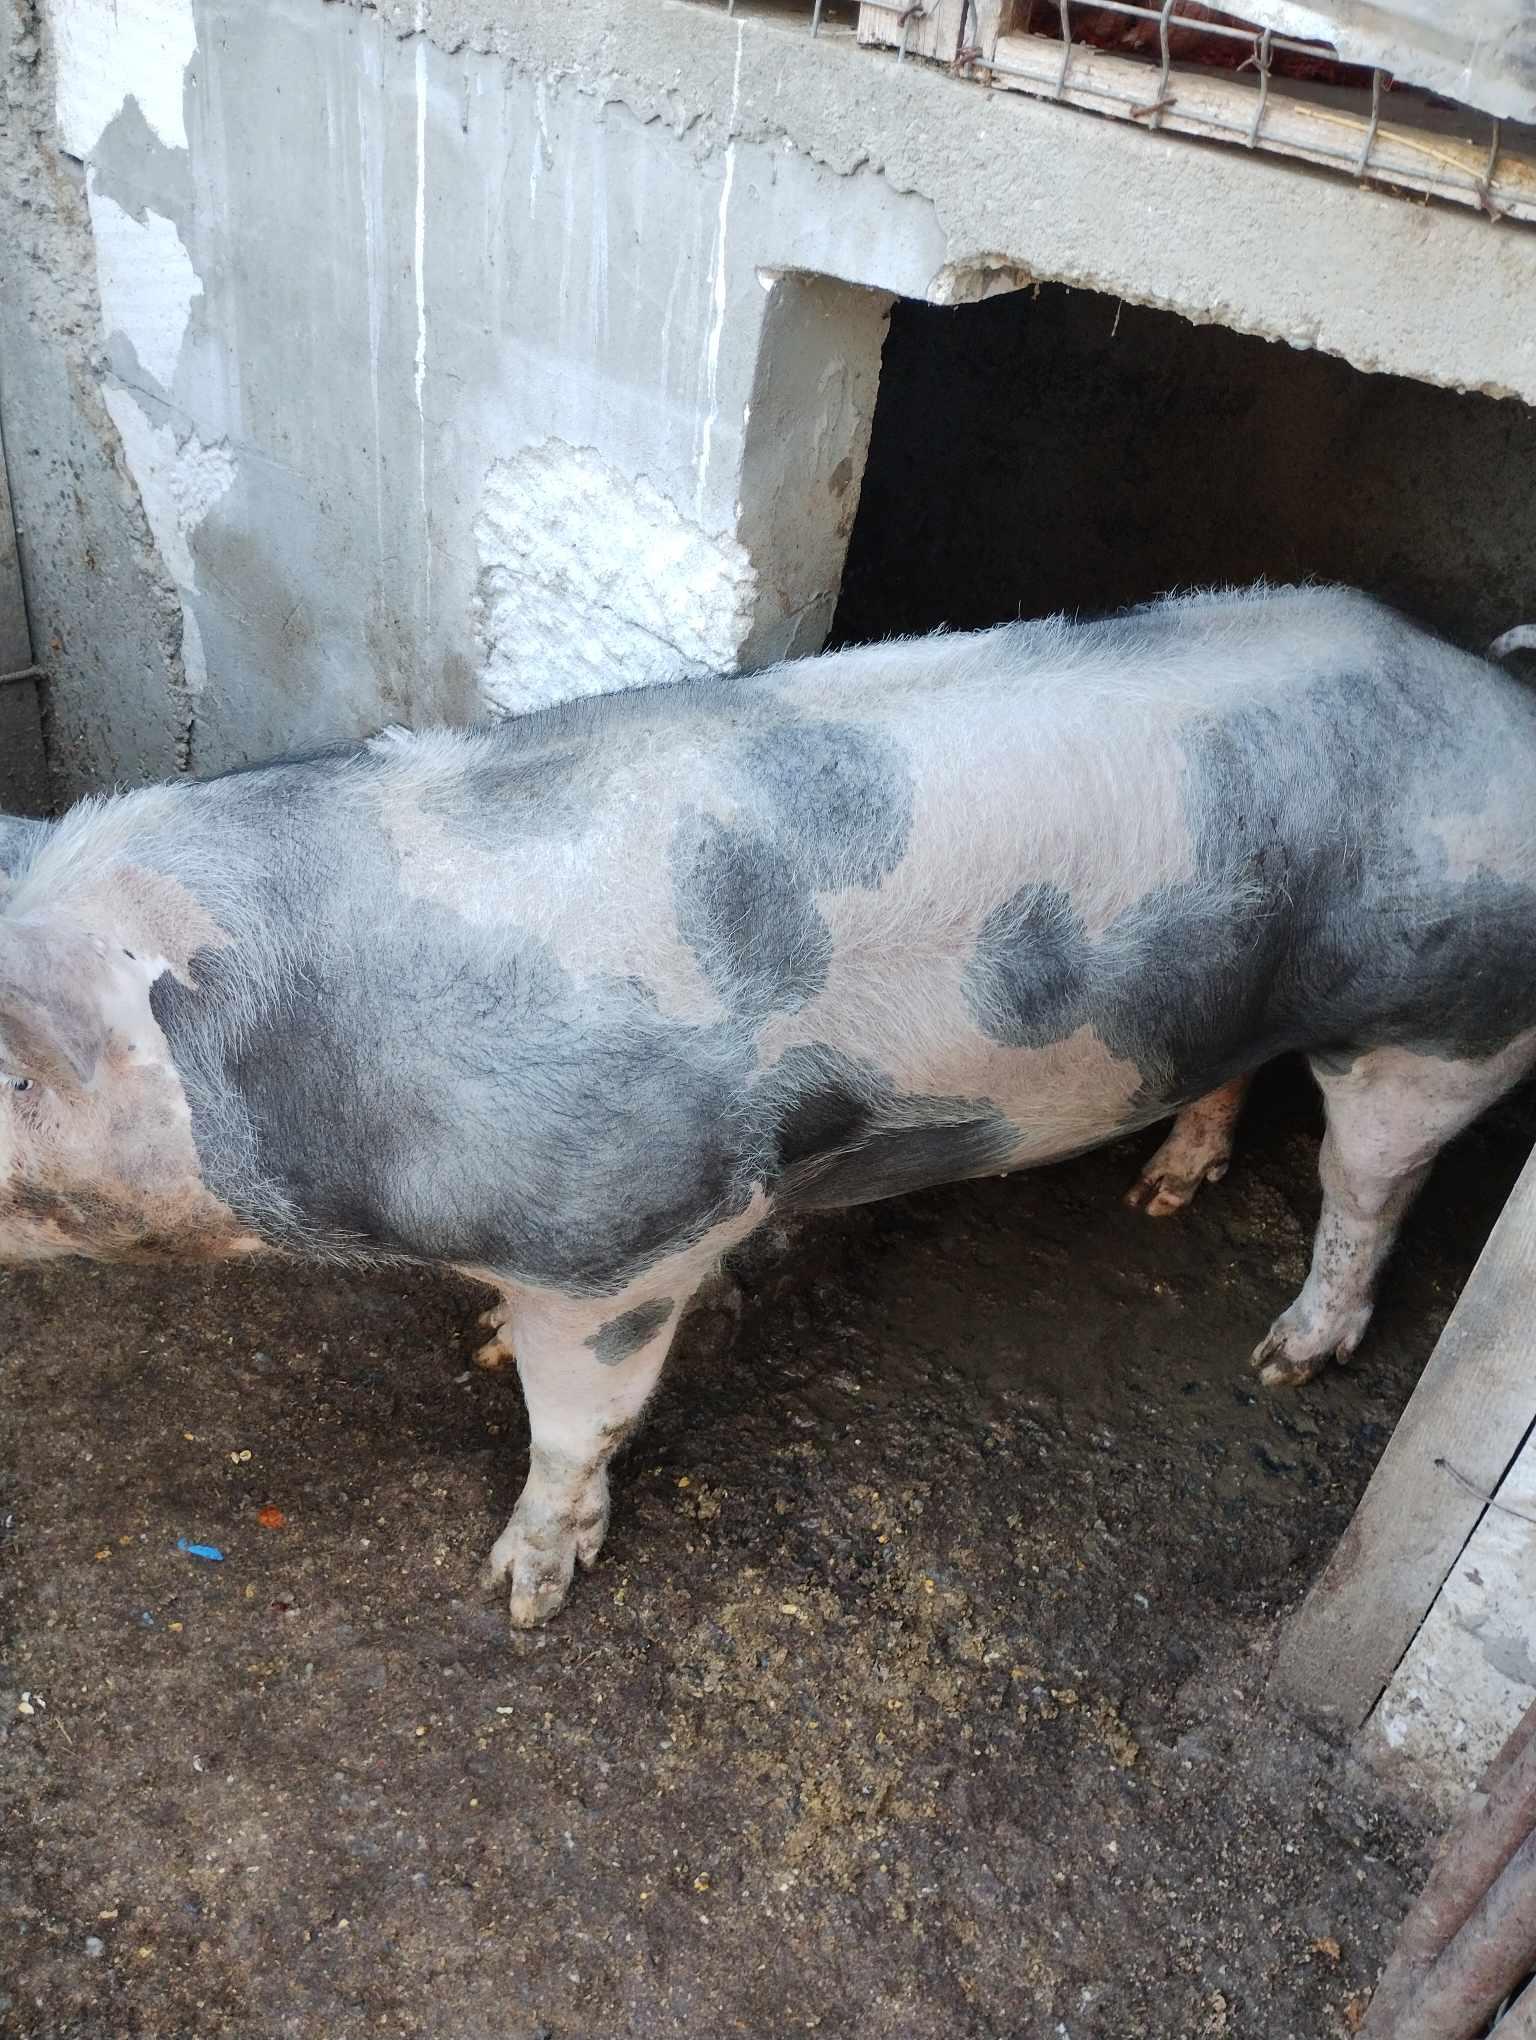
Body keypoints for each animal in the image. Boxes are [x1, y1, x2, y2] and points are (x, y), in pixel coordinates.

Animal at [2, 583, 1535, 1630]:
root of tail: (1498, 693)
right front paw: (486, 1346)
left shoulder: (631, 1234)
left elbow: (580, 1425)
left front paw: (523, 1591)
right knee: (1235, 1070)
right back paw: (1161, 1194)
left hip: (1439, 1031)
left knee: (1368, 1191)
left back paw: (1287, 1359)